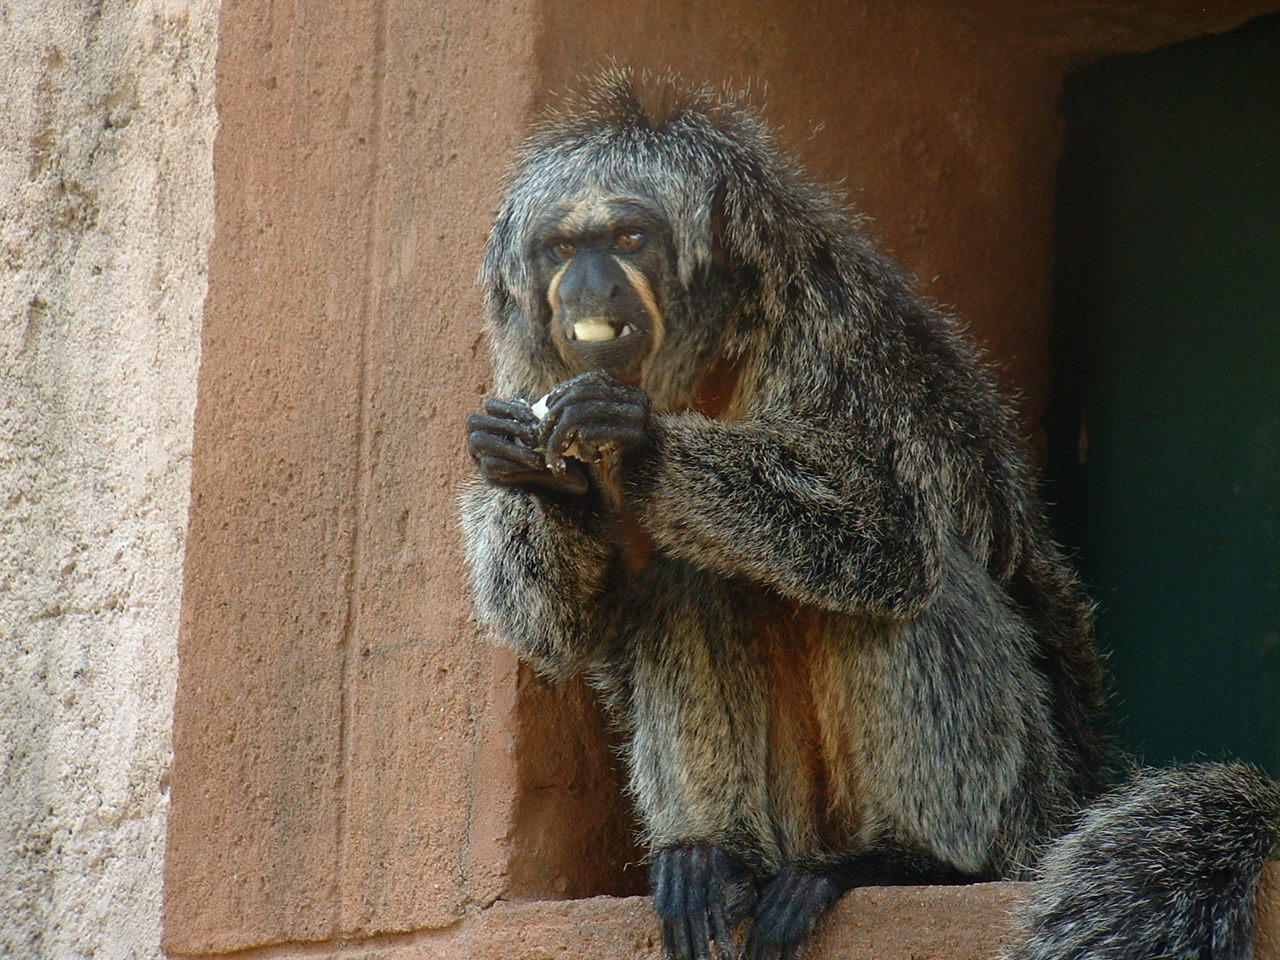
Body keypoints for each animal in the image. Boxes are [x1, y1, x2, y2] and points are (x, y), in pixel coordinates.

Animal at [459, 70, 1279, 960]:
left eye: (628, 240)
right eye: (561, 251)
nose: (588, 286)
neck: (706, 365)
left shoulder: (829, 344)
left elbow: (888, 538)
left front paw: (641, 448)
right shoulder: (535, 367)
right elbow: (575, 633)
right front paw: (542, 478)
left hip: (1025, 808)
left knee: (911, 582)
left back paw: (910, 862)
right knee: (696, 582)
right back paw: (716, 858)